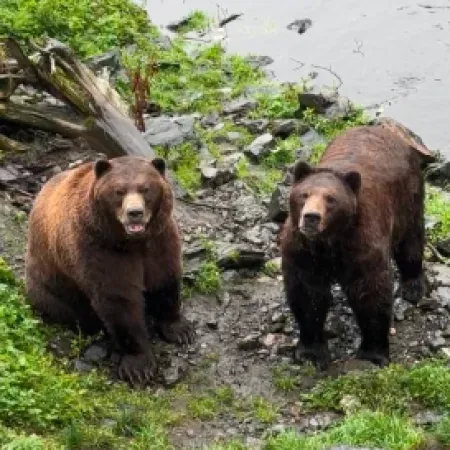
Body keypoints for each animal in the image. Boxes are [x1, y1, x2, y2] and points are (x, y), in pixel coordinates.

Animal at [24, 155, 193, 384]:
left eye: (145, 188)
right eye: (119, 191)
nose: (135, 213)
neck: (132, 242)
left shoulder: (160, 239)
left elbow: (165, 279)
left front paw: (180, 329)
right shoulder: (98, 249)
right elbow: (119, 299)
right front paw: (138, 365)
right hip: (49, 286)